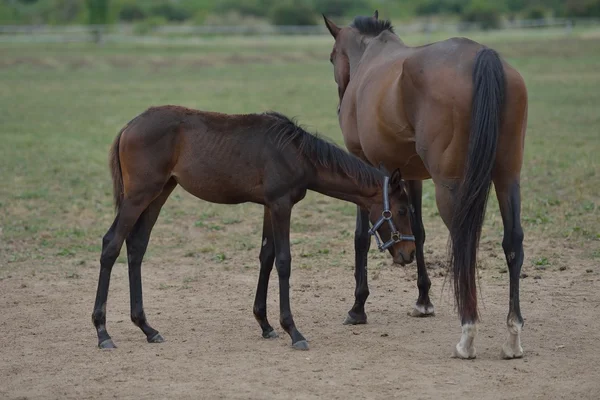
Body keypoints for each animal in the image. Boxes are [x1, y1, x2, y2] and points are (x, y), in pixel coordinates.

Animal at [92, 106, 418, 350]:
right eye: (402, 210)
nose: (409, 253)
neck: (297, 153)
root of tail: (130, 126)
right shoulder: (281, 205)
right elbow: (284, 261)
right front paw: (293, 331)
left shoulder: (268, 207)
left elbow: (266, 257)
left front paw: (265, 324)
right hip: (139, 195)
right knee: (111, 244)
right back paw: (103, 332)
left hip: (159, 194)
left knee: (136, 247)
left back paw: (147, 328)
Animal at [324, 11, 528, 360]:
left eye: (331, 57)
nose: (338, 104)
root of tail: (484, 57)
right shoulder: (411, 175)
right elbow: (417, 231)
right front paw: (423, 301)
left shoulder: (362, 164)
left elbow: (361, 237)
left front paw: (358, 307)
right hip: (507, 177)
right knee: (512, 241)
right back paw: (512, 336)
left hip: (452, 187)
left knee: (464, 242)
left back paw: (467, 335)